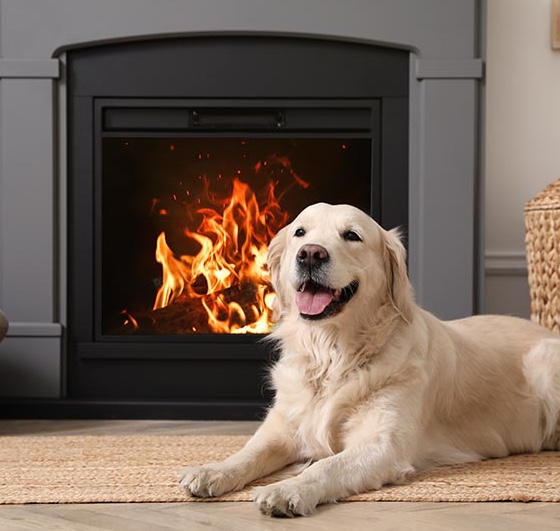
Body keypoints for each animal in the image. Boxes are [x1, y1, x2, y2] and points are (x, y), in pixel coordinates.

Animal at [179, 203, 560, 516]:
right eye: (300, 232)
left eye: (352, 235)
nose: (310, 254)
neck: (332, 354)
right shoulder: (284, 426)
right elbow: (249, 452)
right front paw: (212, 470)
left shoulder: (382, 446)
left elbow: (325, 466)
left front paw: (288, 489)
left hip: (544, 363)